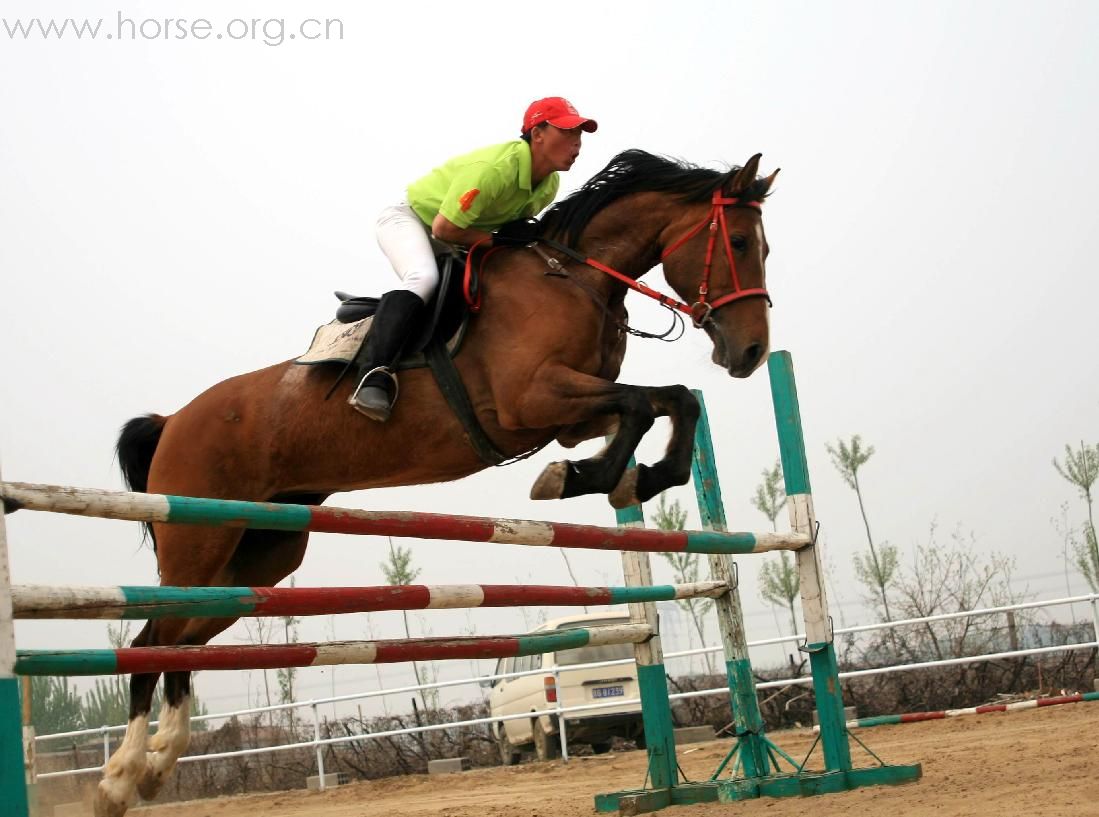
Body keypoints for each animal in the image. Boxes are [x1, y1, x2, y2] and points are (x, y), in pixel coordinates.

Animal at [96, 150, 782, 813]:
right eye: (739, 242)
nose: (750, 353)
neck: (575, 277)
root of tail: (173, 420)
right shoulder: (532, 399)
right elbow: (641, 405)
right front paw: (573, 480)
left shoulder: (569, 416)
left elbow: (670, 400)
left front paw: (632, 479)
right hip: (201, 539)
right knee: (153, 640)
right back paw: (120, 779)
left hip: (259, 552)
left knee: (181, 641)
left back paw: (157, 764)